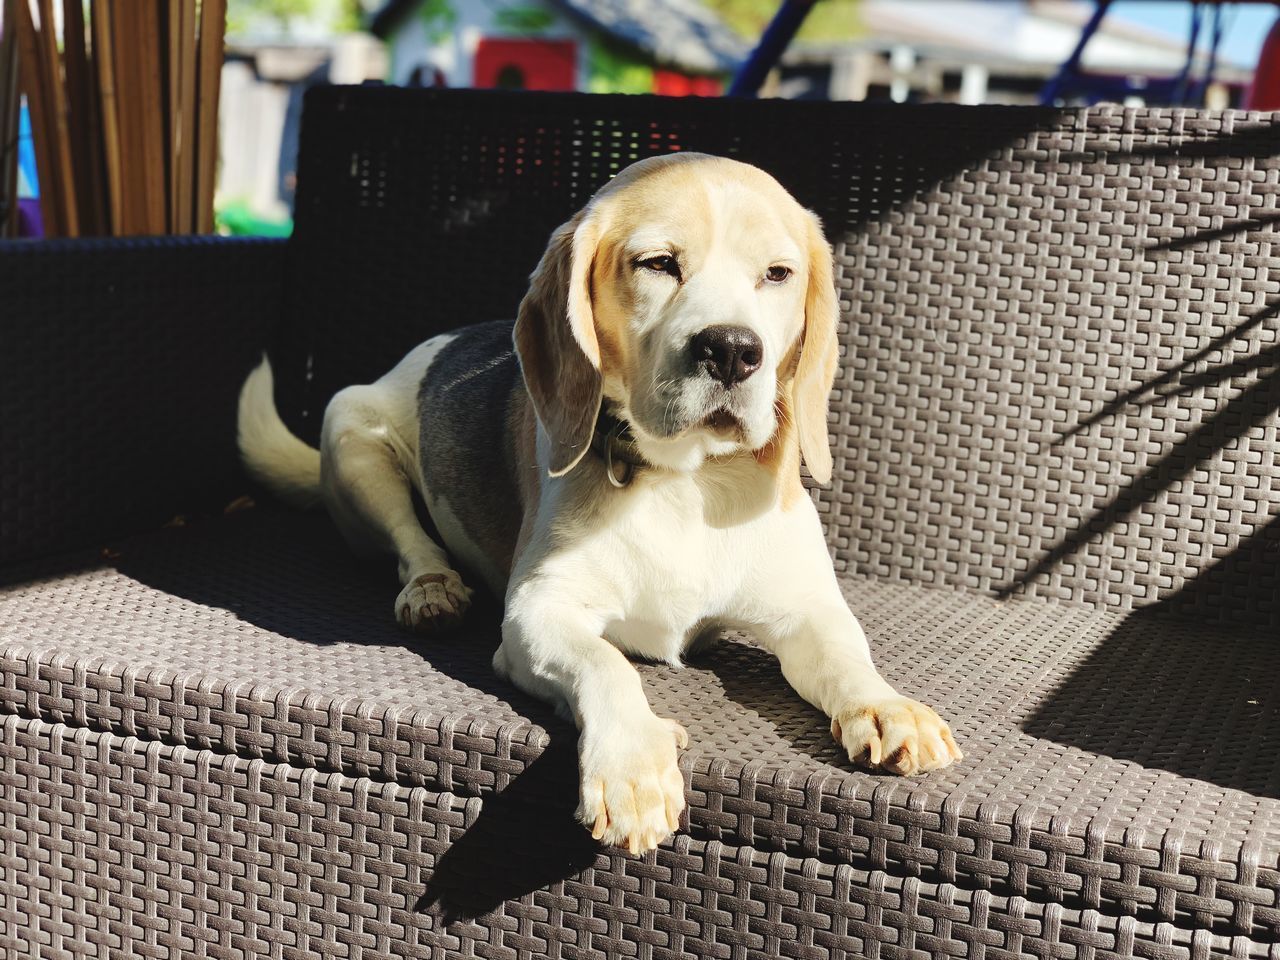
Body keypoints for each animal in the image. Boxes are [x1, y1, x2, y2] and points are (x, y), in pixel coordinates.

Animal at [238, 152, 962, 855]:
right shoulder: (536, 615)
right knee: (410, 540)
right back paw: (433, 587)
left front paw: (886, 706)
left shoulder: (806, 610)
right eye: (658, 263)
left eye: (777, 273)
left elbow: (848, 658)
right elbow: (609, 665)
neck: (686, 483)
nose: (732, 349)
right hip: (353, 432)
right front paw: (632, 767)